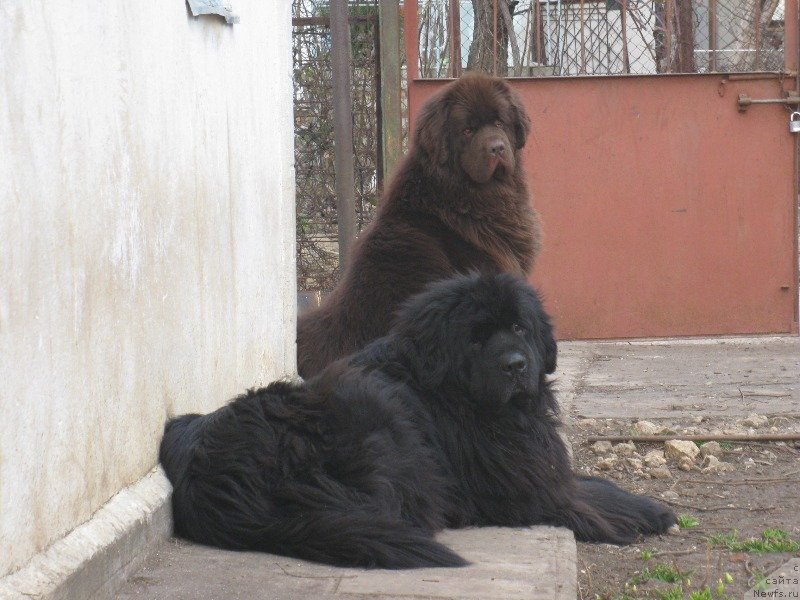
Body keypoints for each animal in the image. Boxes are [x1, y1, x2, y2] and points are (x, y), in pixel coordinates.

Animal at [161, 274, 676, 568]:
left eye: (518, 327)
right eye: (475, 338)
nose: (515, 365)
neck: (452, 393)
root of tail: (212, 476)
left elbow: (592, 483)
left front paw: (649, 507)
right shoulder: (519, 485)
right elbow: (582, 497)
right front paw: (625, 520)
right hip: (372, 425)